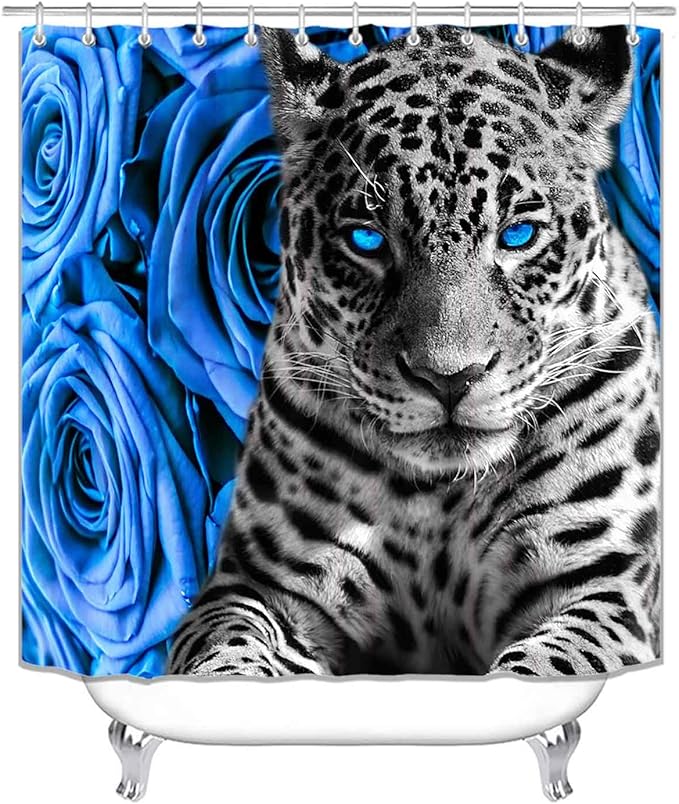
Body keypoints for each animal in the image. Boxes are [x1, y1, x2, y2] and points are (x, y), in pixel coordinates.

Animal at [168, 24, 661, 678]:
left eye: (518, 236)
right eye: (367, 239)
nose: (450, 378)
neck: (439, 497)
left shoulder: (602, 586)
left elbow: (545, 665)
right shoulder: (258, 583)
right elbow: (226, 650)